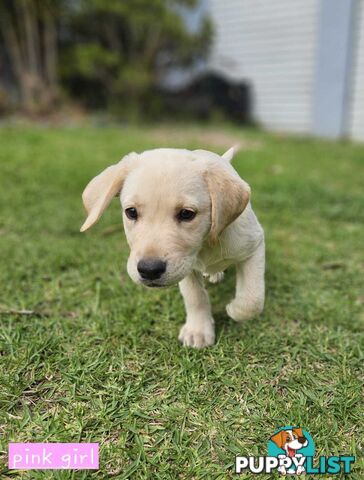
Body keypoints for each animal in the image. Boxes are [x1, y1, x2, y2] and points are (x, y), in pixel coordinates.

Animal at [80, 147, 264, 348]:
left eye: (186, 214)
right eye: (131, 212)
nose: (149, 270)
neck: (206, 243)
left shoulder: (254, 246)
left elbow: (252, 299)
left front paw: (234, 309)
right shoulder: (187, 268)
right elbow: (195, 297)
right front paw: (198, 330)